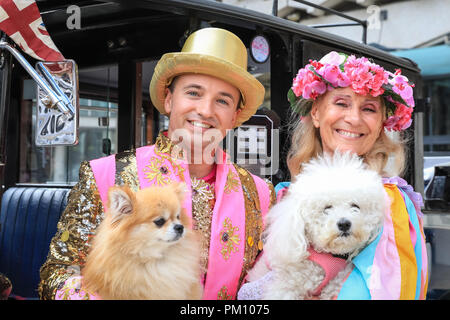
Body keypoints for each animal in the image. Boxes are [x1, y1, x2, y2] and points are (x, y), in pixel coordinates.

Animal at [244, 151, 384, 298]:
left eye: (355, 206)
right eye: (327, 208)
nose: (344, 224)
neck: (329, 255)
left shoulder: (334, 285)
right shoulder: (285, 287)